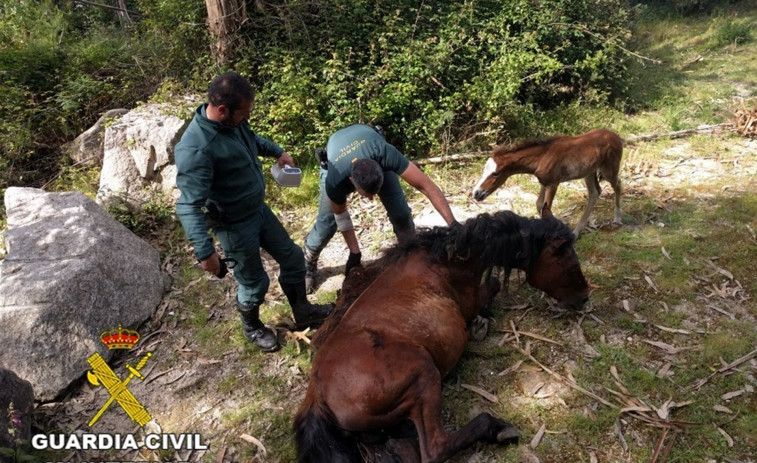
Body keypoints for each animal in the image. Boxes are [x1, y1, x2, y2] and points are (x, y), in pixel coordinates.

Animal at [292, 211, 588, 463]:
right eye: (572, 265)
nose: (584, 298)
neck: (447, 259)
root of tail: (317, 396)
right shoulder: (471, 299)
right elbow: (492, 286)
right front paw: (481, 321)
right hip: (424, 373)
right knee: (435, 449)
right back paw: (496, 428)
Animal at [470, 129, 624, 236]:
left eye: (495, 173)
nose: (476, 193)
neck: (542, 157)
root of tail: (617, 137)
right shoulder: (544, 182)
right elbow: (539, 205)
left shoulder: (553, 184)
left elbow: (546, 207)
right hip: (589, 172)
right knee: (594, 193)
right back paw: (576, 232)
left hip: (608, 170)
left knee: (617, 184)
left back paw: (617, 218)